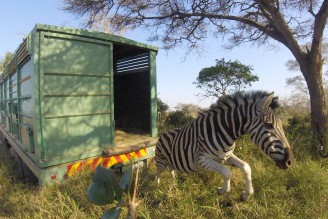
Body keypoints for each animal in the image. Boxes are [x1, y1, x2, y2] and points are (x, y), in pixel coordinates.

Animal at [156, 90, 294, 200]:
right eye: (269, 125)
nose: (290, 161)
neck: (222, 133)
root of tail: (163, 134)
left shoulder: (226, 157)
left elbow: (246, 167)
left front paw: (246, 194)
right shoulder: (201, 160)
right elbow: (227, 172)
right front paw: (222, 190)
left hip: (171, 162)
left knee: (172, 171)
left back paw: (174, 184)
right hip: (161, 162)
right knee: (157, 174)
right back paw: (157, 190)